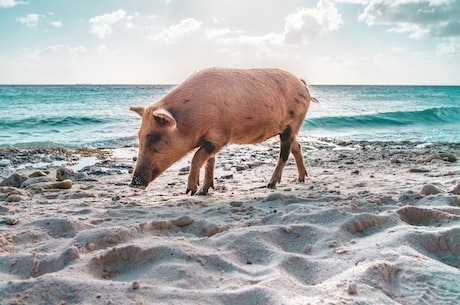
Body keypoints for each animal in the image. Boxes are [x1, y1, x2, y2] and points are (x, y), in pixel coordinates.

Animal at [129, 67, 316, 194]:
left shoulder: (219, 136)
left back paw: (271, 184)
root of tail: (302, 84)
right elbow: (209, 161)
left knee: (284, 153)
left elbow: (197, 157)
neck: (191, 119)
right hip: (289, 128)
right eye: (139, 137)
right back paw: (301, 179)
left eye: (153, 137)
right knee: (297, 147)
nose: (134, 183)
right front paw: (203, 191)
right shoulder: (211, 139)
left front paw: (190, 191)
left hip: (292, 123)